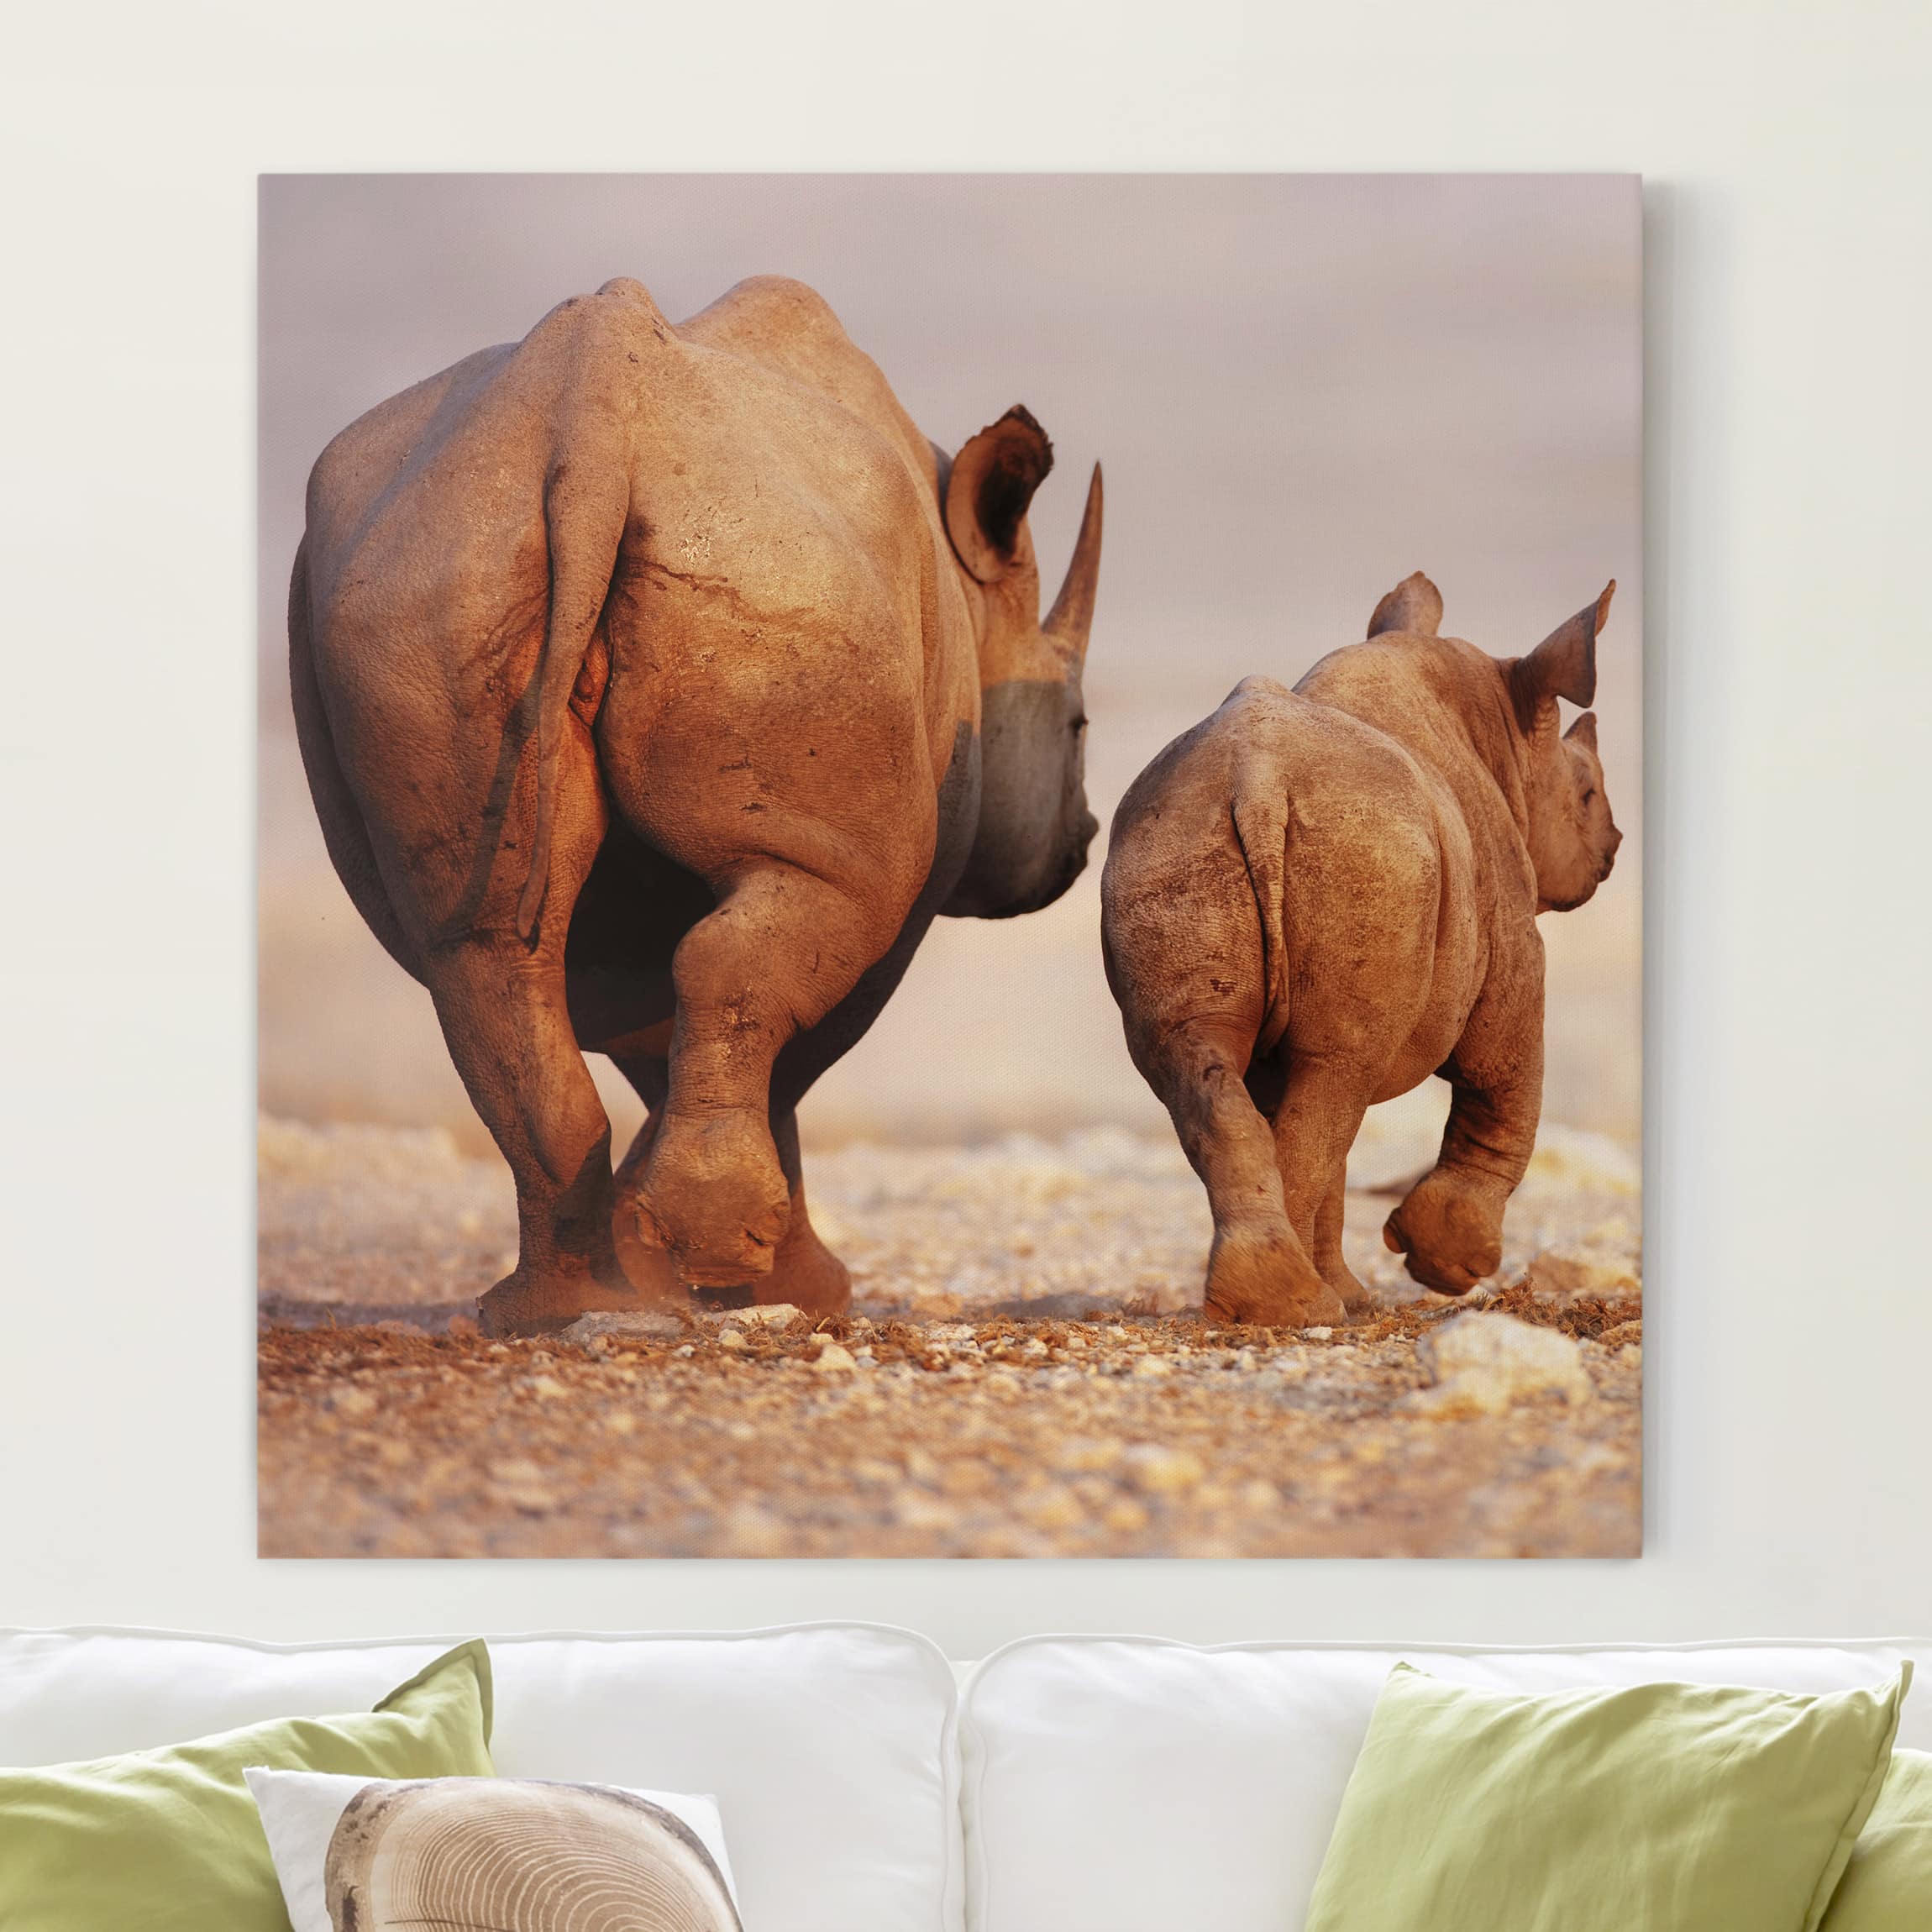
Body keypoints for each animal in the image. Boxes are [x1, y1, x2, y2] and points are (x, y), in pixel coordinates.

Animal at [291, 274, 1102, 1336]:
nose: (1083, 840)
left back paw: (551, 1305)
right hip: (775, 571)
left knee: (481, 953)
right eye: (1078, 726)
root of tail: (590, 423)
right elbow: (798, 1043)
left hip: (425, 576)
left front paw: (661, 1258)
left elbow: (655, 1026)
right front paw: (777, 1282)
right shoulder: (899, 869)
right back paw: (715, 1271)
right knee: (770, 932)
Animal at [1101, 572, 1621, 1327]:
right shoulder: (1511, 933)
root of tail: (1256, 782)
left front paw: (1354, 1295)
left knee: (1216, 1065)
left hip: (1172, 840)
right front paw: (1446, 1265)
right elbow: (1502, 1079)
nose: (1614, 846)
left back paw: (1274, 1303)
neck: (1504, 735)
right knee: (1335, 1077)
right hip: (1366, 853)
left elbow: (1334, 1151)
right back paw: (1297, 1307)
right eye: (1585, 794)